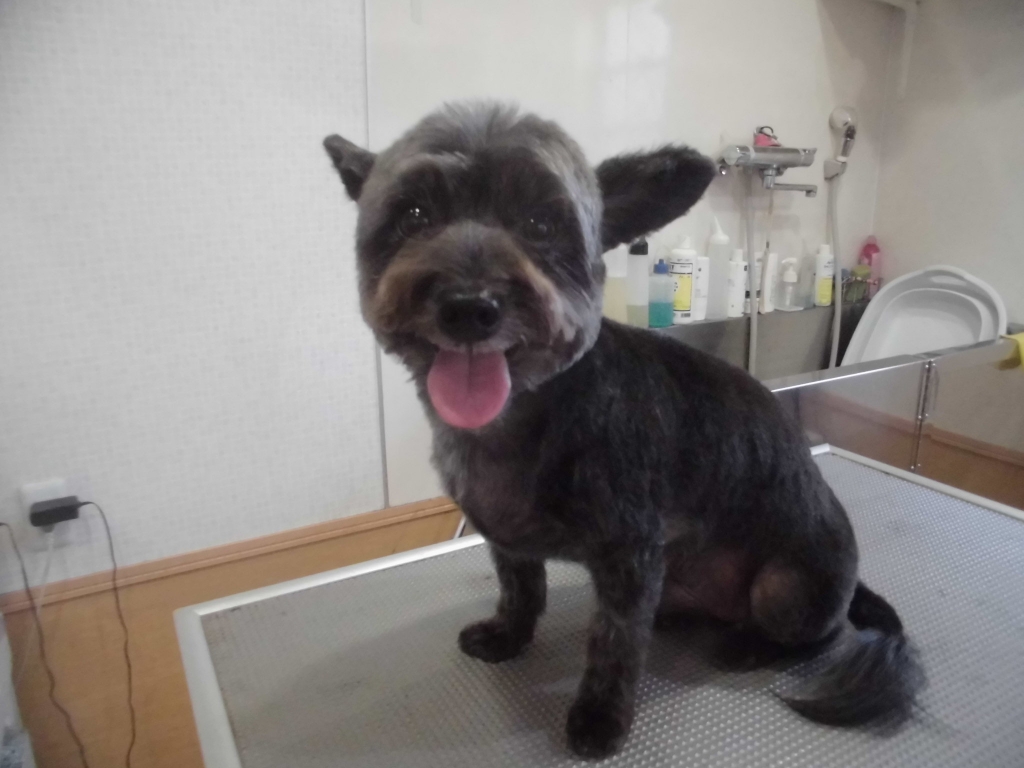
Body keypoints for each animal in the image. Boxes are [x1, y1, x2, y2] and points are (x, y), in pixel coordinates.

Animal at [323, 102, 924, 759]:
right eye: (414, 215)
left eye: (539, 222)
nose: (469, 305)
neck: (524, 416)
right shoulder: (509, 540)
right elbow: (521, 590)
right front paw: (508, 636)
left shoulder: (630, 554)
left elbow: (614, 643)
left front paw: (599, 717)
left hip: (787, 587)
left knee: (818, 634)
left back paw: (749, 645)